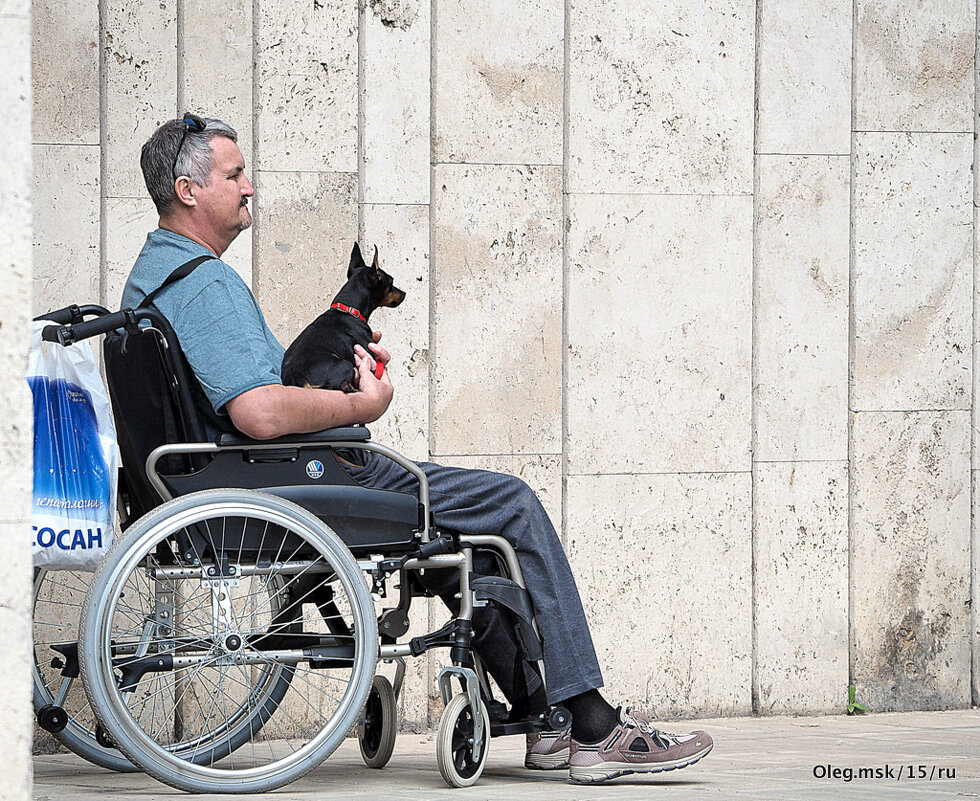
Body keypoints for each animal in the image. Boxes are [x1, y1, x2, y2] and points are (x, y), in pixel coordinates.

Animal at [282, 244, 404, 394]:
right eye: (391, 281)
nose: (404, 293)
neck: (349, 310)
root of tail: (303, 384)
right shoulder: (370, 350)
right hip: (345, 365)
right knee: (345, 387)